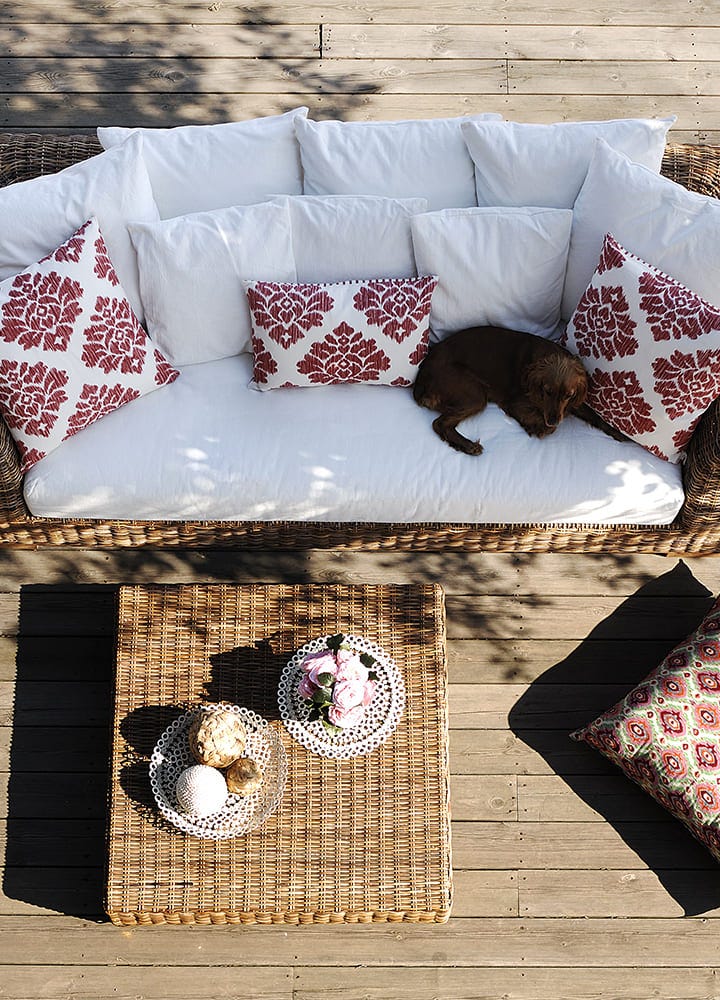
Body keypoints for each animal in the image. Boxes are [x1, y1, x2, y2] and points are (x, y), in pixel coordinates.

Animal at [414, 326, 628, 456]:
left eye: (569, 394)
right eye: (547, 391)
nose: (553, 419)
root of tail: (422, 376)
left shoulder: (570, 404)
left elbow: (594, 415)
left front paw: (619, 433)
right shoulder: (515, 403)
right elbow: (546, 425)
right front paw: (537, 427)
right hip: (475, 394)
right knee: (439, 424)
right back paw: (468, 445)